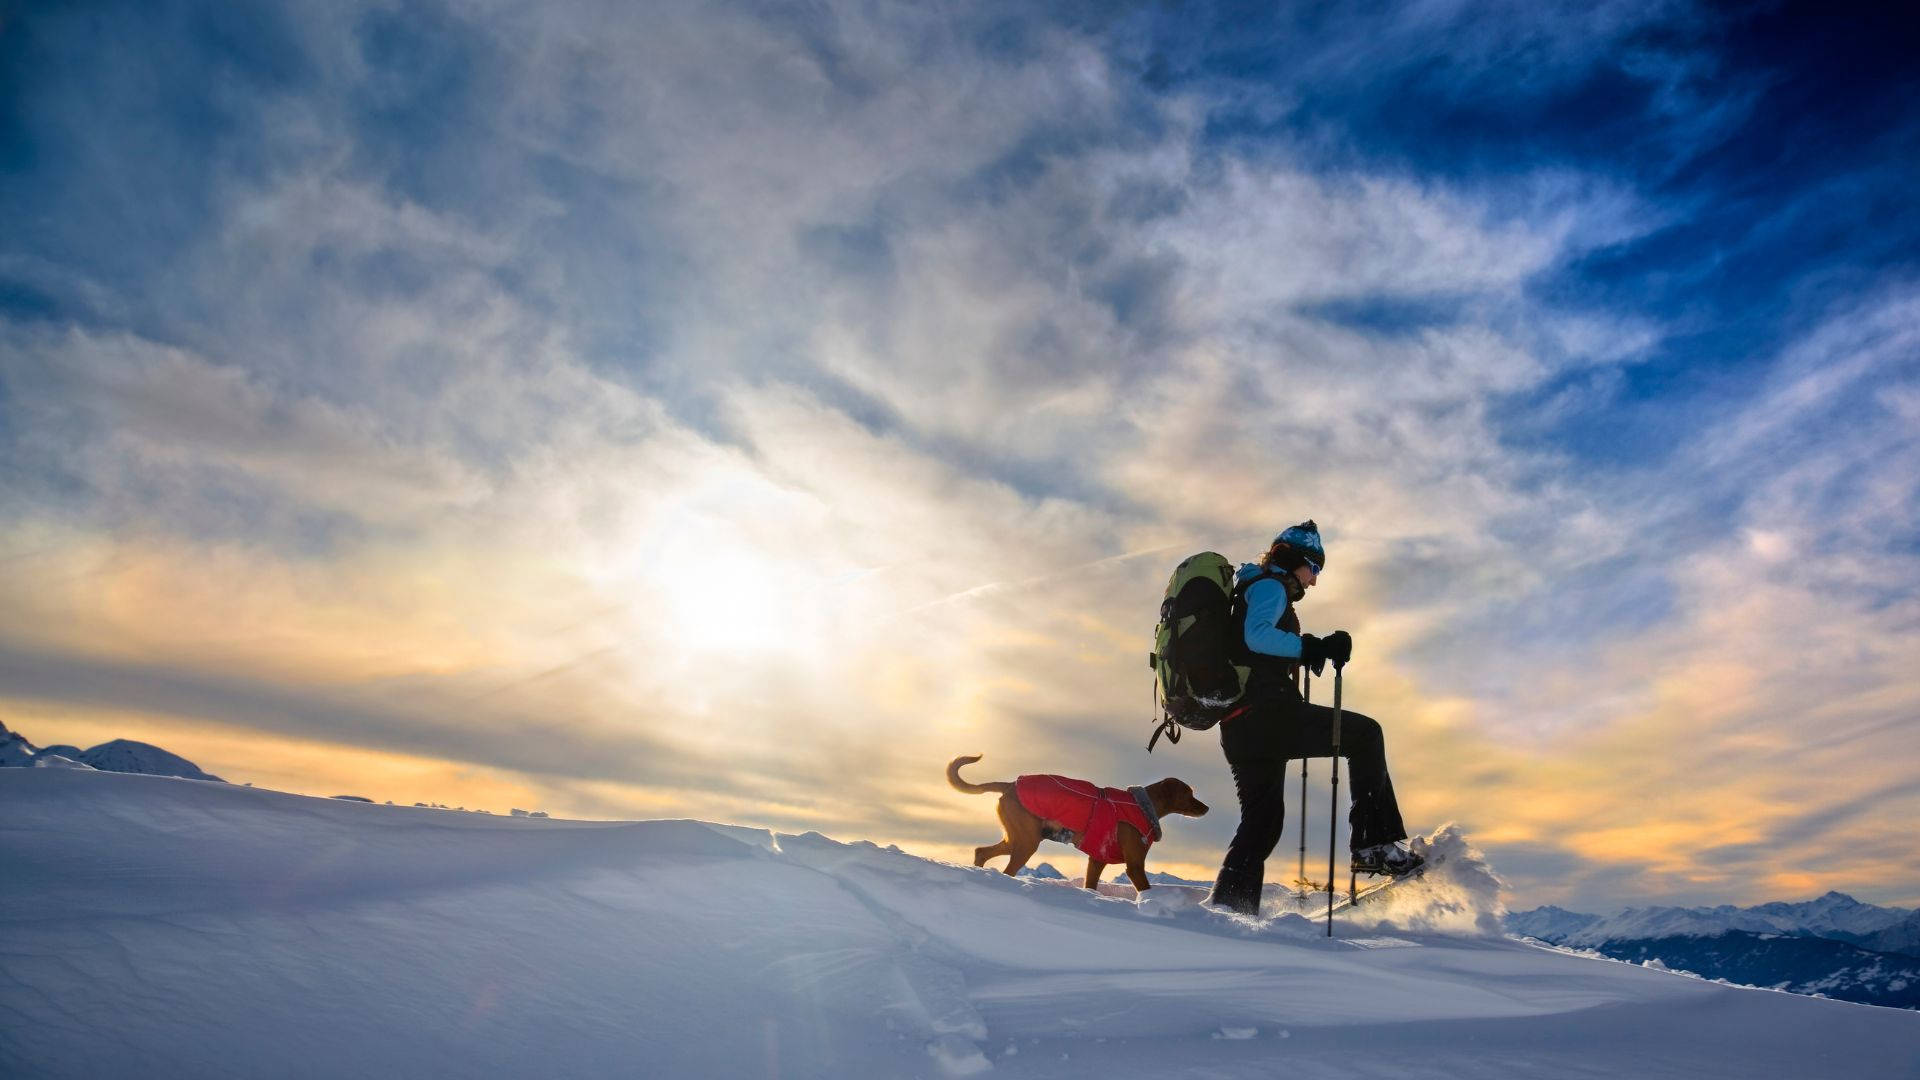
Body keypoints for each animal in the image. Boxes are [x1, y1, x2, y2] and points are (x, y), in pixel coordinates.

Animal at [940, 753, 1198, 887]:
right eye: (1189, 794)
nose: (1205, 807)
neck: (1142, 805)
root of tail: (1010, 784)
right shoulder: (1134, 865)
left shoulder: (1097, 859)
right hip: (1026, 842)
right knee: (1006, 868)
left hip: (1016, 838)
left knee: (981, 851)